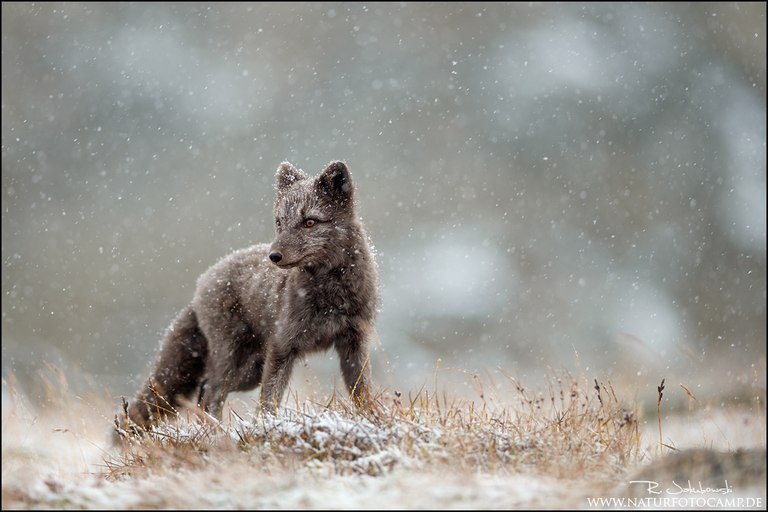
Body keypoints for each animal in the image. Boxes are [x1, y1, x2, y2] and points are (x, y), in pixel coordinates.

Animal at [121, 159, 380, 428]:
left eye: (310, 222)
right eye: (279, 222)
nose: (274, 256)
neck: (331, 295)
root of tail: (202, 282)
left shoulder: (355, 342)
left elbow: (361, 391)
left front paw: (371, 420)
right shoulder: (281, 347)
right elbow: (269, 400)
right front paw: (266, 427)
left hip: (249, 372)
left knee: (204, 392)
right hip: (233, 361)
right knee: (211, 392)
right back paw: (215, 432)